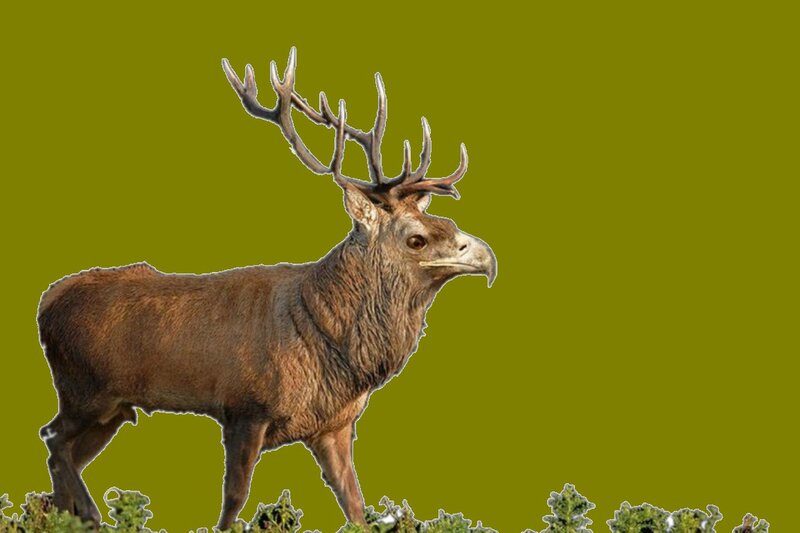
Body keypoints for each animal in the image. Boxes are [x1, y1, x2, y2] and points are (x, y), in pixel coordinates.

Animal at [36, 47, 496, 530]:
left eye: (448, 222)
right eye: (417, 239)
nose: (486, 257)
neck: (332, 349)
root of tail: (47, 300)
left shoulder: (334, 424)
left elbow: (355, 506)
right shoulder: (244, 406)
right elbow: (233, 501)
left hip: (111, 407)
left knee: (62, 451)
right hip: (83, 387)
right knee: (52, 439)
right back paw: (88, 512)